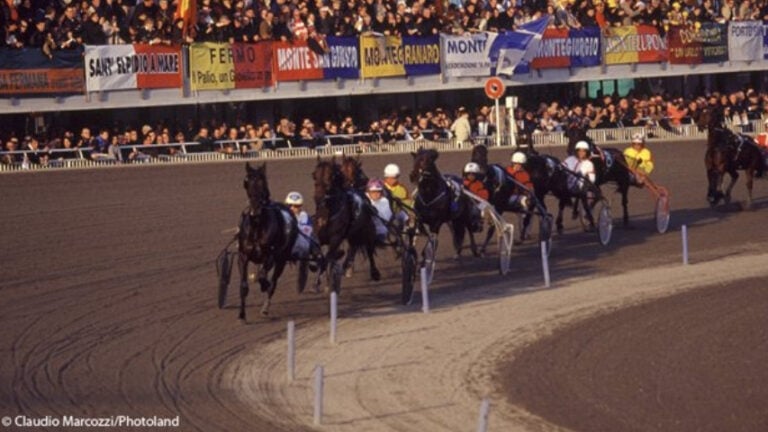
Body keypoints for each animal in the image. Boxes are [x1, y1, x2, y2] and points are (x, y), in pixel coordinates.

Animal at [237, 162, 300, 320]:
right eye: (246, 182)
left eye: (263, 182)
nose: (255, 209)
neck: (257, 225)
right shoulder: (243, 256)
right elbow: (244, 286)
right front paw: (242, 314)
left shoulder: (270, 256)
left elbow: (264, 279)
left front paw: (264, 285)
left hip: (282, 259)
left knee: (274, 282)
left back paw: (265, 307)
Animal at [312, 157, 380, 288]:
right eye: (314, 175)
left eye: (332, 176)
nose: (318, 197)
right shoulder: (320, 237)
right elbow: (318, 254)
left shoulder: (336, 238)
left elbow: (329, 256)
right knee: (353, 248)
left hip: (366, 229)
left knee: (368, 249)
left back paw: (374, 273)